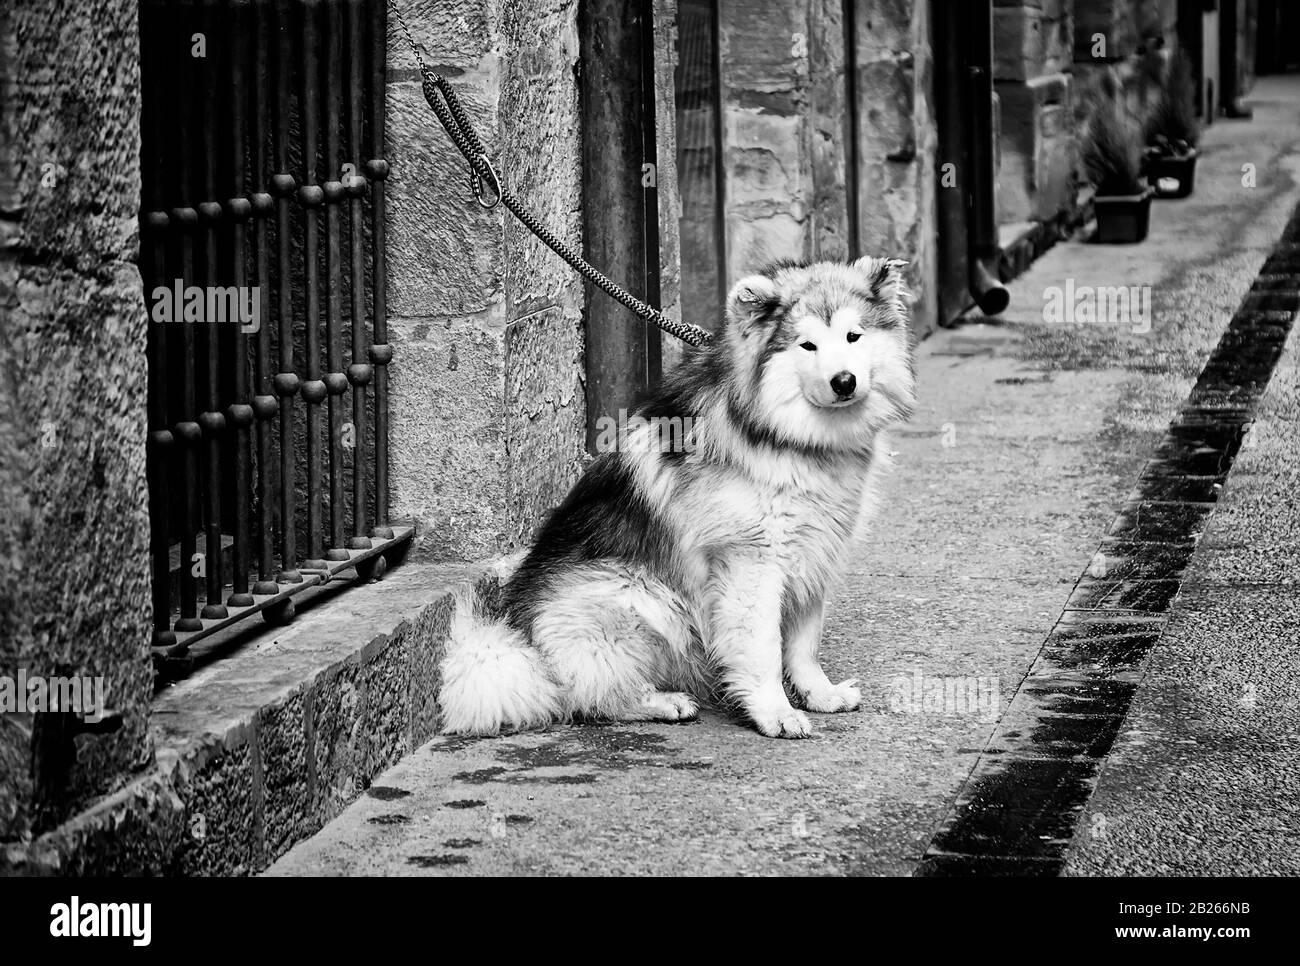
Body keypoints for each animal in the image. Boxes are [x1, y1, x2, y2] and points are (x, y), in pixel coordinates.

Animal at [441, 257, 920, 738]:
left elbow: (803, 645)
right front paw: (775, 711)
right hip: (635, 596)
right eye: (807, 345)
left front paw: (819, 694)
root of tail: (524, 644)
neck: (785, 436)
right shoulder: (752, 563)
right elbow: (763, 648)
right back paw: (659, 701)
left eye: (853, 336)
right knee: (586, 694)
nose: (844, 382)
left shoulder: (812, 553)